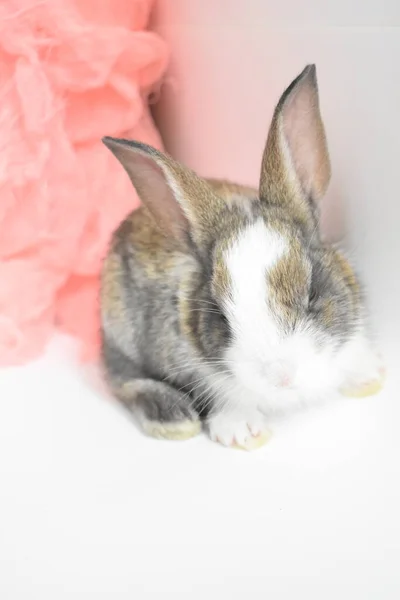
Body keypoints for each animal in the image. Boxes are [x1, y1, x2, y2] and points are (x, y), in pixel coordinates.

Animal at [100, 65, 384, 450]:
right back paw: (173, 418)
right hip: (119, 332)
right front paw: (243, 431)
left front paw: (369, 375)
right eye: (220, 316)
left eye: (312, 293)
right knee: (123, 379)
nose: (281, 376)